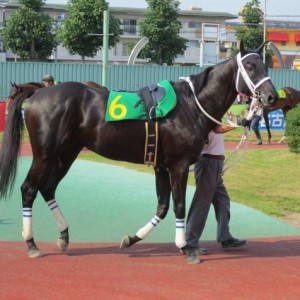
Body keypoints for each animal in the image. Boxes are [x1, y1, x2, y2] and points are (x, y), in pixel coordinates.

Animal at [0, 41, 276, 258]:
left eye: (265, 65)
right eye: (250, 66)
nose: (271, 97)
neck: (191, 106)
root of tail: (37, 94)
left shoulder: (161, 166)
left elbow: (162, 208)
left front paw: (132, 239)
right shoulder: (178, 165)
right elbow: (179, 206)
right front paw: (186, 248)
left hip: (67, 153)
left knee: (47, 188)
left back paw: (64, 235)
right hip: (45, 155)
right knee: (29, 189)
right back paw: (31, 244)